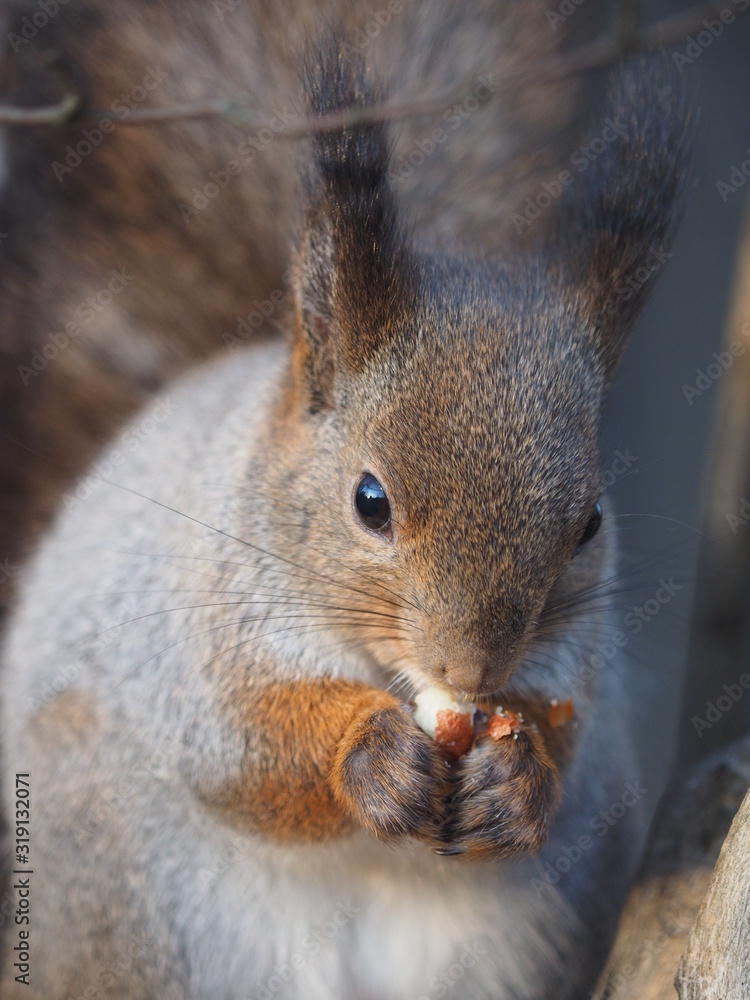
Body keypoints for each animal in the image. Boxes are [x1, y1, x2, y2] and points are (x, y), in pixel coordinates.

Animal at [0, 2, 691, 999]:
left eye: (590, 522)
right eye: (370, 501)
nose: (472, 671)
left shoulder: (574, 666)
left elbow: (568, 737)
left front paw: (519, 778)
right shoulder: (192, 633)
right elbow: (242, 746)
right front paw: (371, 758)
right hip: (115, 892)